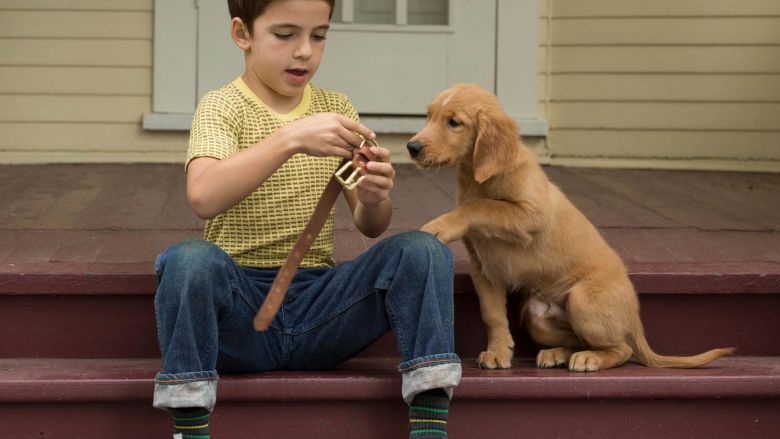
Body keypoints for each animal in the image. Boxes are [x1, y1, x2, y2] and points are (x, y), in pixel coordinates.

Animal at [412, 83, 736, 372]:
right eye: (428, 116)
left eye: (454, 122)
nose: (411, 146)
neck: (478, 178)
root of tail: (634, 318)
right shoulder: (484, 269)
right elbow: (492, 314)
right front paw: (498, 351)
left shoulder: (532, 214)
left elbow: (482, 206)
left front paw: (439, 225)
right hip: (538, 317)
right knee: (581, 340)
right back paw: (557, 354)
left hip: (582, 300)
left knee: (621, 349)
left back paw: (589, 359)